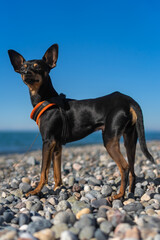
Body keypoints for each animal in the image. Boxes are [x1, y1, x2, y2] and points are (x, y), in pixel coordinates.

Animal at [7, 43, 154, 201]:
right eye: (23, 68)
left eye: (38, 67)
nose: (25, 72)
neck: (46, 99)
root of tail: (128, 100)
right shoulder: (57, 145)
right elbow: (57, 172)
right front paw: (57, 188)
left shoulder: (47, 141)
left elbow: (43, 171)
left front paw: (35, 191)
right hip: (130, 139)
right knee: (132, 170)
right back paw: (131, 193)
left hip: (109, 139)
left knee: (125, 167)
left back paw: (119, 195)